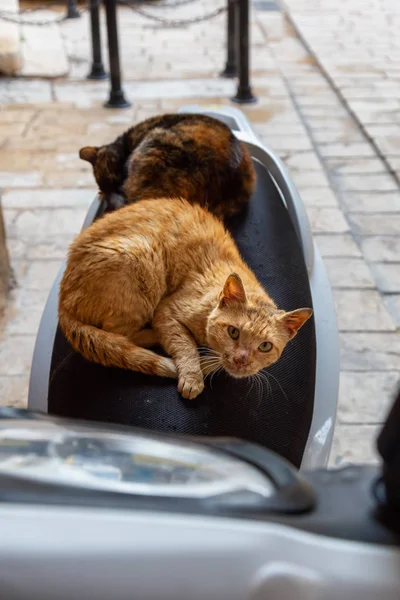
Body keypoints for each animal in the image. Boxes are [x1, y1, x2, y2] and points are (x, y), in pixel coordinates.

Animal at [58, 199, 312, 400]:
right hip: (142, 258)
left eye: (265, 346)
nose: (242, 359)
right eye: (233, 332)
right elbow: (185, 345)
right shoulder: (167, 311)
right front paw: (192, 375)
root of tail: (62, 299)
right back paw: (154, 336)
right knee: (119, 334)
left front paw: (207, 365)